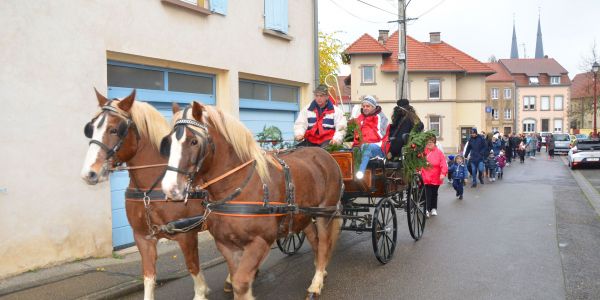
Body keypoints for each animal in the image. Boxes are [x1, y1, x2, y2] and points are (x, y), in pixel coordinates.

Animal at [80, 89, 209, 300]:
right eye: (91, 128)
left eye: (114, 130)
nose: (89, 173)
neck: (151, 190)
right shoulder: (143, 237)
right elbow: (149, 278)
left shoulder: (187, 235)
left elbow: (194, 271)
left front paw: (203, 290)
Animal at [162, 102, 344, 298]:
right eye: (168, 142)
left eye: (194, 141)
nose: (170, 188)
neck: (237, 186)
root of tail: (324, 154)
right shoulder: (226, 244)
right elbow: (236, 279)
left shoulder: (259, 241)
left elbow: (241, 283)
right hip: (304, 216)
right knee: (315, 241)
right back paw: (320, 271)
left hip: (325, 214)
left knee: (324, 244)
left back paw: (316, 283)